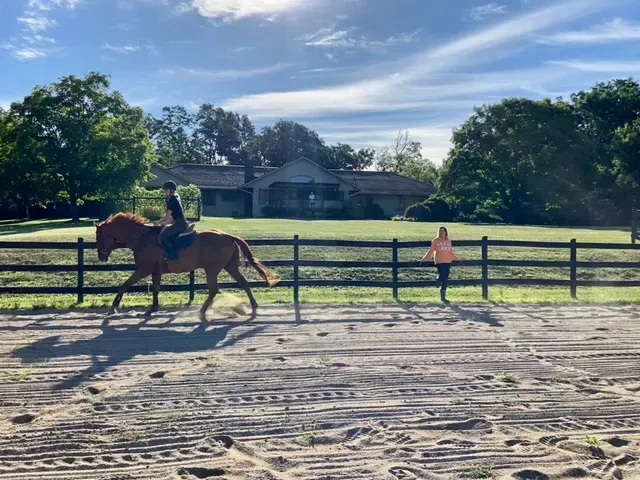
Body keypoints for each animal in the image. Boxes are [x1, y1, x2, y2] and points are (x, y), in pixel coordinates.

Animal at [95, 213, 278, 321]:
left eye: (100, 236)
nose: (101, 256)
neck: (141, 238)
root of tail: (227, 235)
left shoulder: (143, 270)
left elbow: (124, 285)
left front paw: (113, 308)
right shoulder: (155, 271)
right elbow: (155, 289)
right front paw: (152, 309)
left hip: (212, 269)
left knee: (214, 289)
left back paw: (202, 312)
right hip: (230, 267)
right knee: (244, 283)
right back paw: (253, 308)